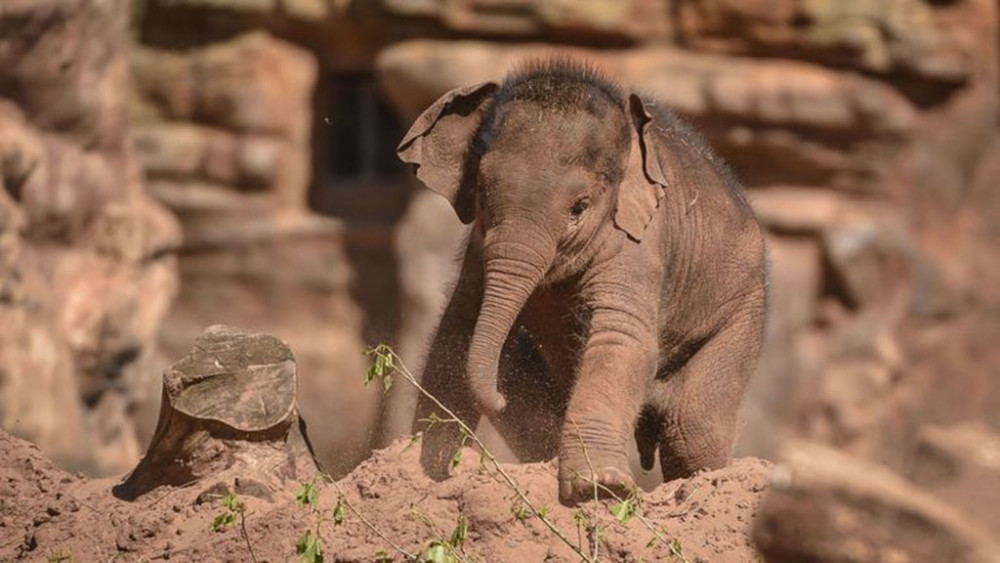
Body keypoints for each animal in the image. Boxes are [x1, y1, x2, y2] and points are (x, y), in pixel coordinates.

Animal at [398, 60, 764, 502]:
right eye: (482, 192)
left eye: (579, 207)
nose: (496, 397)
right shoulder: (478, 249)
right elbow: (460, 323)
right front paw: (427, 470)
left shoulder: (639, 241)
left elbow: (621, 336)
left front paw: (599, 488)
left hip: (743, 313)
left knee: (694, 430)